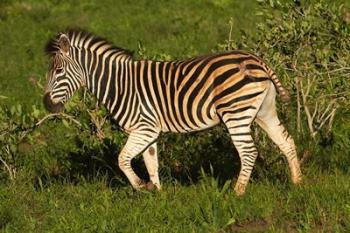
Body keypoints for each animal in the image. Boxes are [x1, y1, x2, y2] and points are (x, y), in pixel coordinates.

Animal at [43, 30, 300, 195]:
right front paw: (158, 195)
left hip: (236, 112)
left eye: (58, 71)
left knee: (248, 152)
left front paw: (141, 187)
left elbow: (122, 159)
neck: (119, 84)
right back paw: (298, 183)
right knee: (286, 141)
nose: (47, 105)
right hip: (264, 111)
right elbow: (151, 163)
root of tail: (257, 60)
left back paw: (237, 193)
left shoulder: (145, 128)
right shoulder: (149, 131)